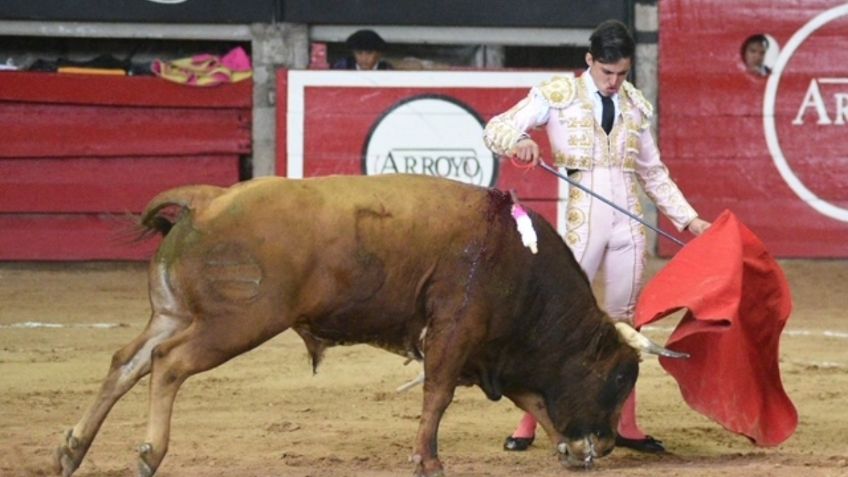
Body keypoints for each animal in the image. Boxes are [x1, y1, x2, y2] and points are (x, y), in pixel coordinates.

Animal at [53, 173, 680, 474]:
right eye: (620, 378)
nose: (603, 446)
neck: (516, 260)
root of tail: (206, 201)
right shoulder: (456, 333)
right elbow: (438, 396)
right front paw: (429, 462)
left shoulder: (492, 353)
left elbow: (534, 400)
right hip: (235, 324)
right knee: (168, 364)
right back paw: (147, 454)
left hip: (173, 314)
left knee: (126, 362)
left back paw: (72, 450)